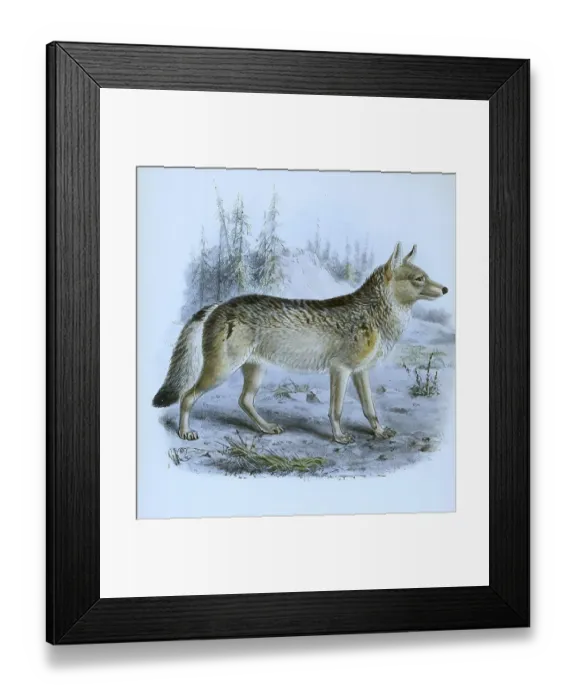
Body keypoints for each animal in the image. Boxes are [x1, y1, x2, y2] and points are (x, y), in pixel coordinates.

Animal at [153, 242, 448, 444]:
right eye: (419, 279)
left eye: (426, 275)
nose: (446, 289)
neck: (375, 316)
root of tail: (219, 305)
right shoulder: (340, 370)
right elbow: (336, 410)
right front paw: (339, 437)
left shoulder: (360, 372)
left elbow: (369, 409)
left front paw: (378, 431)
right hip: (220, 373)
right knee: (187, 396)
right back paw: (184, 432)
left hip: (255, 372)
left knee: (244, 401)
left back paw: (266, 428)